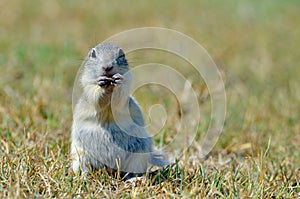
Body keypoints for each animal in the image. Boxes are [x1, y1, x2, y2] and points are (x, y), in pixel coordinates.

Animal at [70, 42, 169, 176]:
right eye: (93, 54)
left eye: (121, 55)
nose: (107, 67)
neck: (110, 88)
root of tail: (110, 169)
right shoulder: (88, 85)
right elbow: (95, 98)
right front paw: (101, 84)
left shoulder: (126, 86)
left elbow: (120, 99)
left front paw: (118, 79)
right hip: (81, 156)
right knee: (85, 167)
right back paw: (84, 176)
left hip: (139, 153)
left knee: (132, 171)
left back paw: (134, 178)